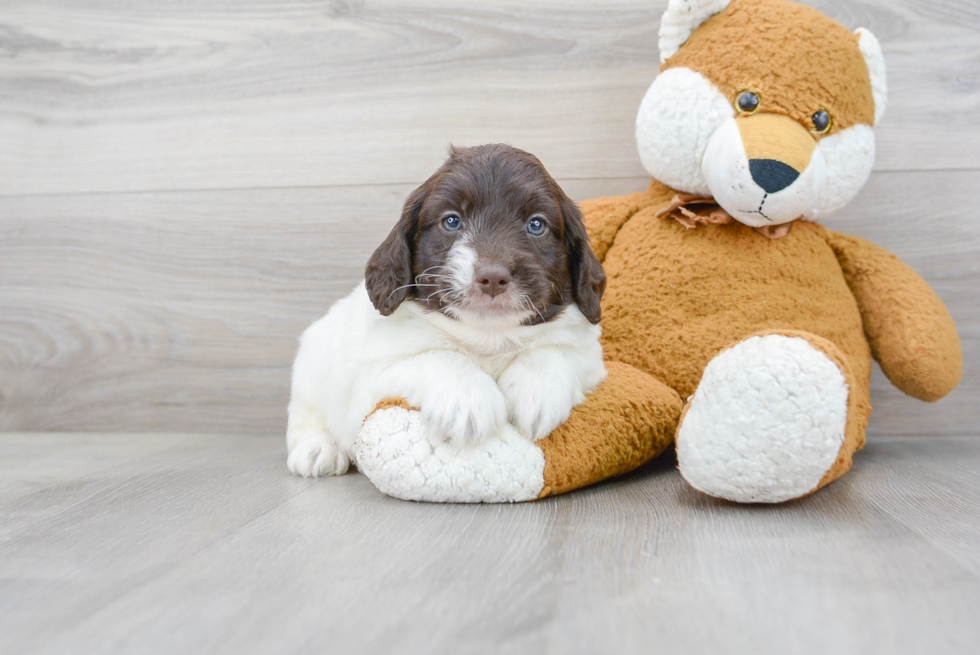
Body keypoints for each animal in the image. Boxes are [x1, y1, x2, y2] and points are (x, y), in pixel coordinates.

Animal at [288, 146, 604, 480]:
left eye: (536, 225)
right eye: (452, 221)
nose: (493, 277)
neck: (489, 333)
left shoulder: (589, 355)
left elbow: (554, 351)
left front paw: (536, 392)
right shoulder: (377, 373)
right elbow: (438, 355)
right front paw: (467, 401)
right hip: (311, 366)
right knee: (305, 416)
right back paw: (317, 449)